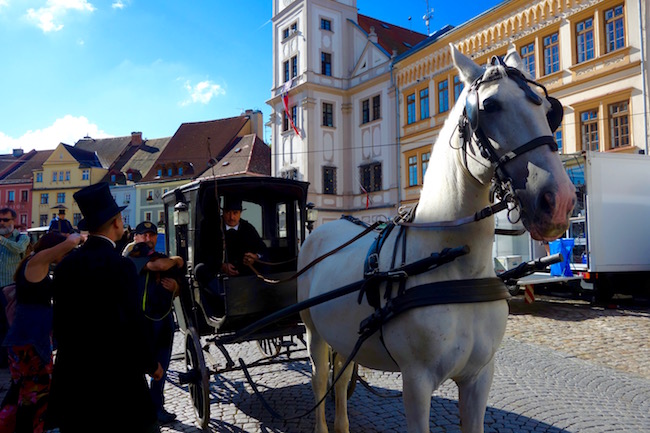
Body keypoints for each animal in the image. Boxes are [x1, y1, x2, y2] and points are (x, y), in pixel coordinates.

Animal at [296, 45, 576, 430]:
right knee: (320, 379)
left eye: (550, 110)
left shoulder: (479, 378)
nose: (558, 200)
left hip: (344, 334)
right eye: (490, 106)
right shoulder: (417, 381)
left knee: (340, 378)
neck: (456, 268)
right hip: (314, 332)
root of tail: (321, 230)